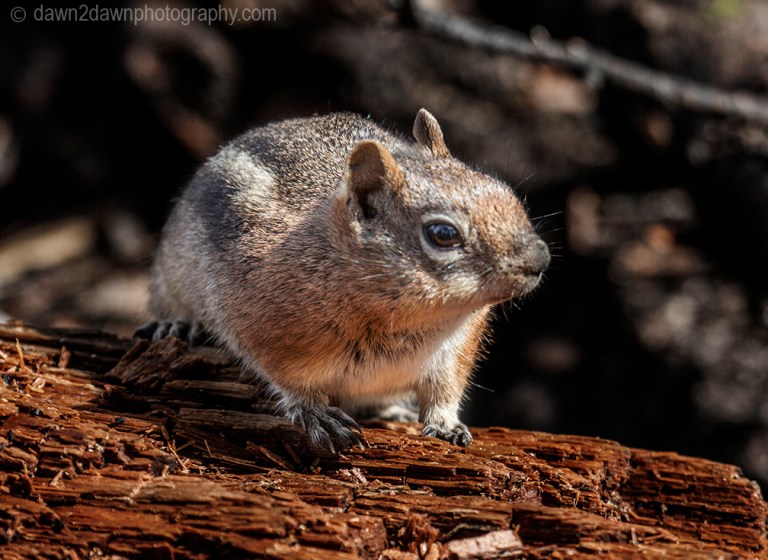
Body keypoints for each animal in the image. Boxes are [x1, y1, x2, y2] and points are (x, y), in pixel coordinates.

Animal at [136, 109, 550, 453]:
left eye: (505, 192)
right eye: (443, 234)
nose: (540, 259)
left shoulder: (455, 351)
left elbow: (444, 392)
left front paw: (446, 424)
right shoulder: (270, 332)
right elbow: (291, 382)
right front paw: (314, 412)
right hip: (169, 278)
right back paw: (174, 324)